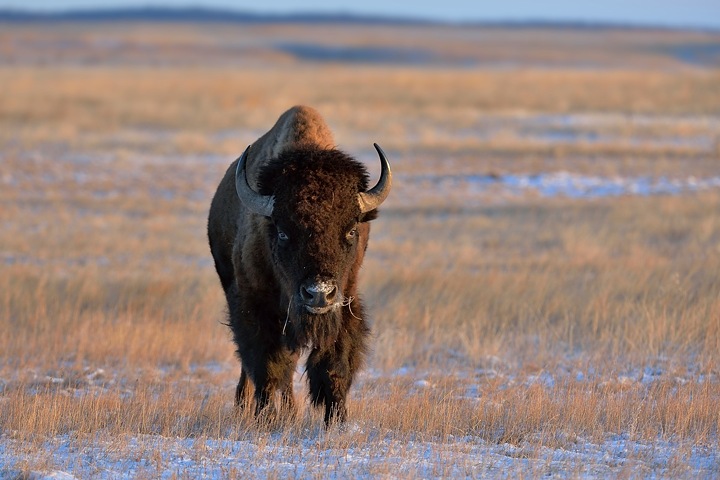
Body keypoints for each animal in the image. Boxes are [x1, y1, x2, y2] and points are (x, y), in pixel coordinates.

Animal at [207, 105, 391, 425]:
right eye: (282, 232)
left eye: (351, 230)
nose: (318, 293)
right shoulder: (256, 307)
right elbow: (267, 366)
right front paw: (265, 418)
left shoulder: (346, 301)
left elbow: (333, 366)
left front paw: (337, 420)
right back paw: (250, 406)